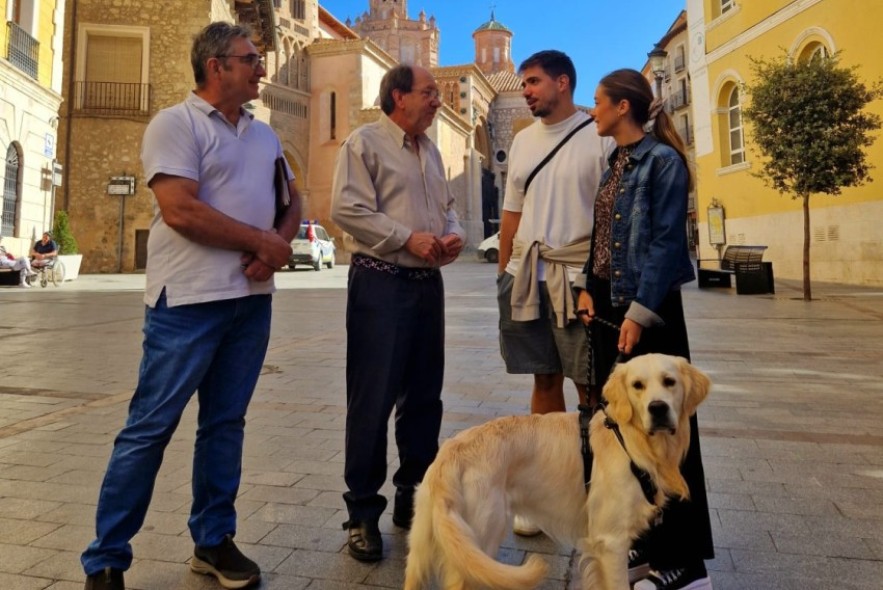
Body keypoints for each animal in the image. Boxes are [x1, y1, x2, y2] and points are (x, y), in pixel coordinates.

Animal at [406, 354, 712, 588]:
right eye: (638, 385)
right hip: (481, 538)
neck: (629, 439)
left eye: (670, 382)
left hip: (423, 547)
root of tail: (448, 458)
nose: (658, 408)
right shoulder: (611, 542)